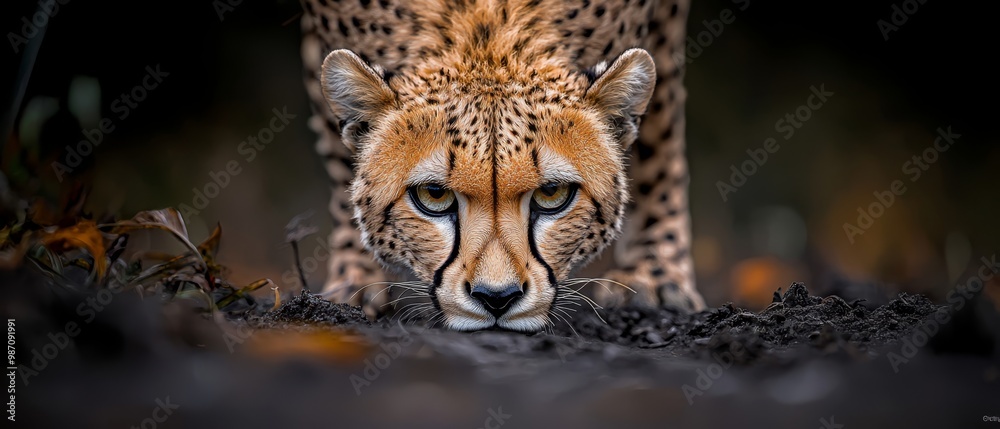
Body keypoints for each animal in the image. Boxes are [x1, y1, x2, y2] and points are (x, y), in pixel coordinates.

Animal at [300, 0, 708, 332]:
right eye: (433, 195)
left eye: (552, 193)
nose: (497, 298)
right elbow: (343, 169)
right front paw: (353, 280)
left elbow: (662, 141)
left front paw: (655, 273)